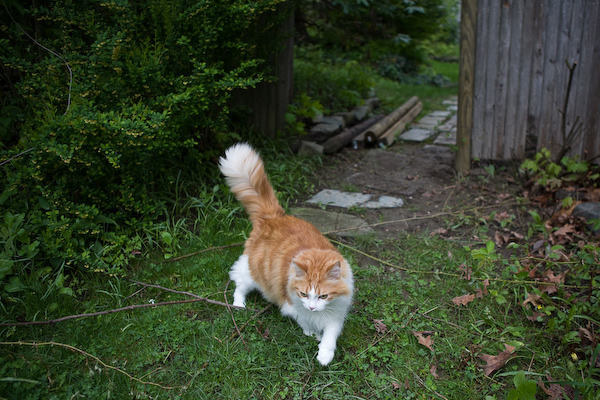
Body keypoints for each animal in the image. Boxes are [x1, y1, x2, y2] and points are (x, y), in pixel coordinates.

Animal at [219, 143, 354, 366]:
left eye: (323, 296)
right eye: (304, 294)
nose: (312, 307)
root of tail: (273, 217)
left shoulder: (336, 312)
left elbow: (330, 335)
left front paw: (324, 354)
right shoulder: (291, 305)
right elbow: (306, 323)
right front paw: (313, 334)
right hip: (251, 273)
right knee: (238, 286)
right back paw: (239, 305)